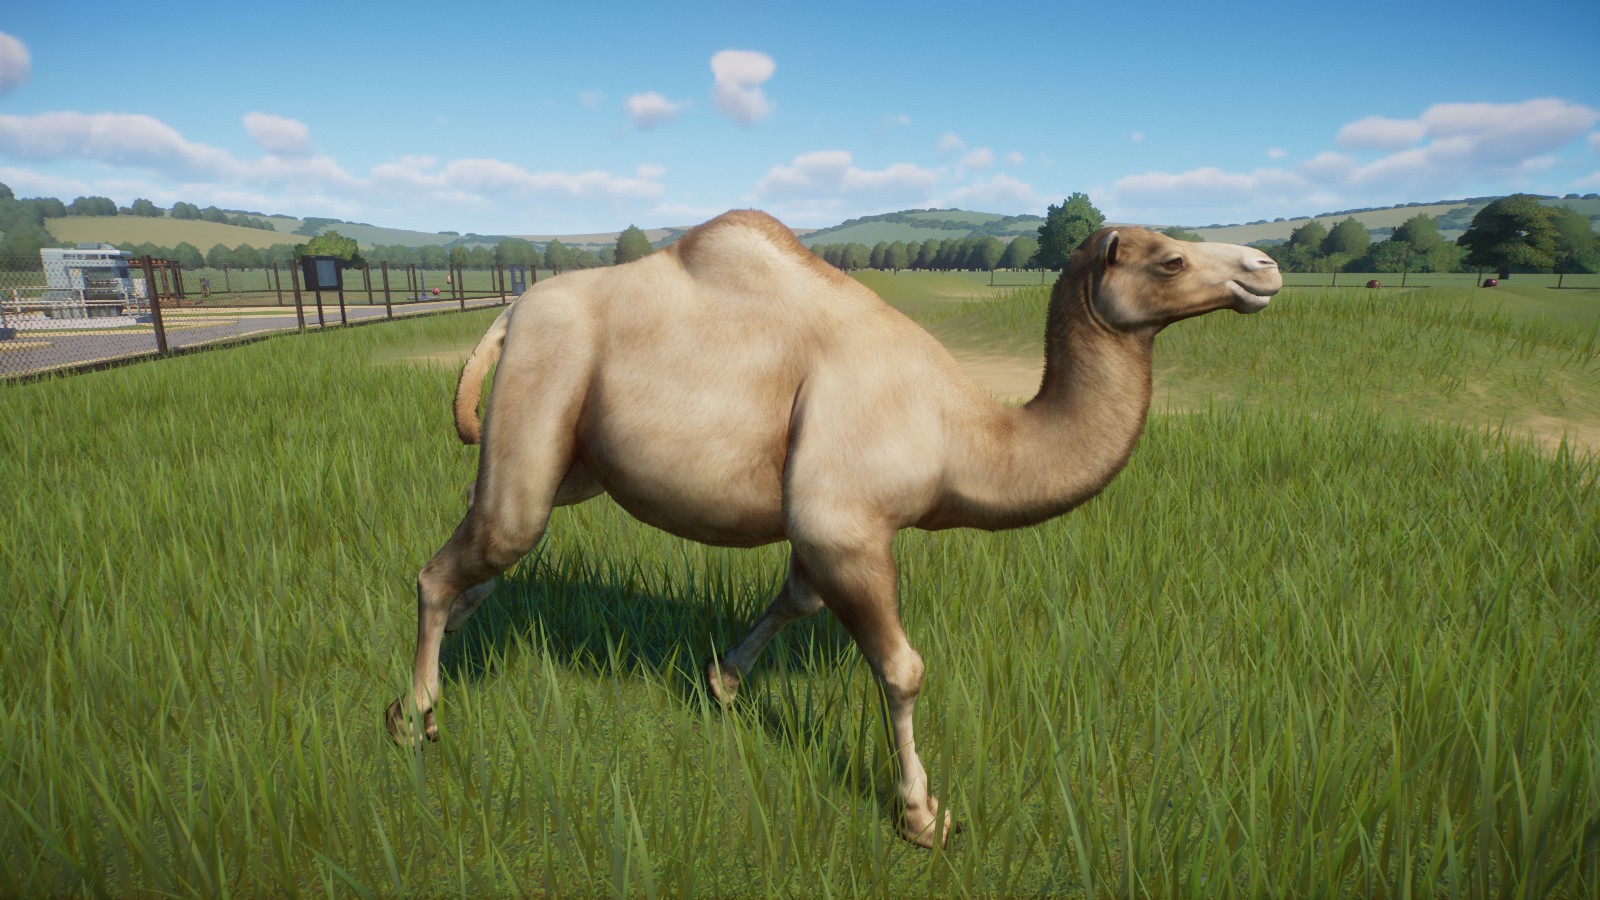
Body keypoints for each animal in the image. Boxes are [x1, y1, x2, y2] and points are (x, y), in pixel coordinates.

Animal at [387, 209, 1281, 848]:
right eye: (1168, 259)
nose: (1264, 267)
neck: (964, 433)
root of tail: (511, 308)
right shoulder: (845, 525)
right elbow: (904, 670)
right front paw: (922, 818)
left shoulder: (820, 528)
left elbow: (797, 601)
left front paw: (722, 684)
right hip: (542, 394)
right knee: (462, 557)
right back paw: (414, 719)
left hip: (574, 461)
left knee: (482, 549)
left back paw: (442, 669)